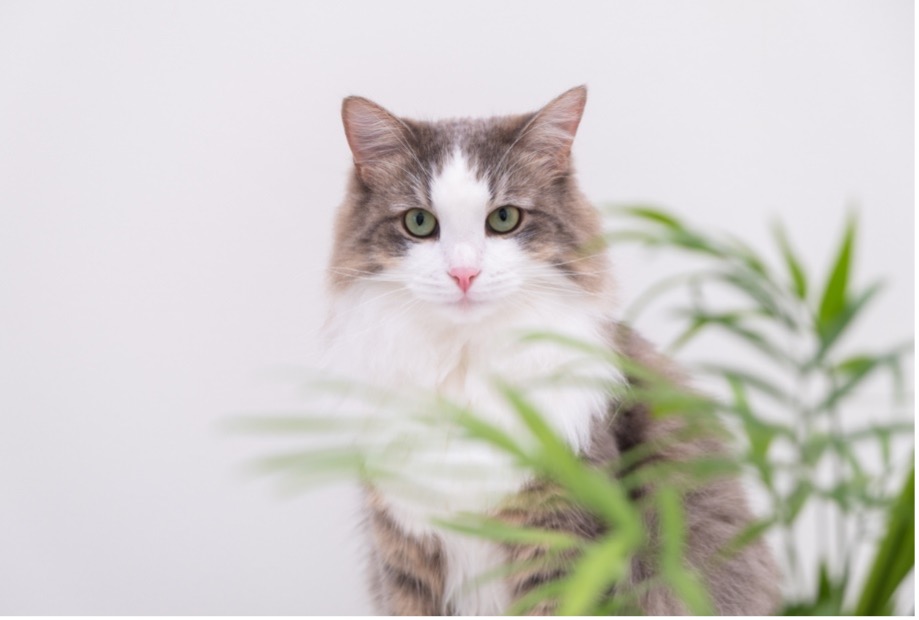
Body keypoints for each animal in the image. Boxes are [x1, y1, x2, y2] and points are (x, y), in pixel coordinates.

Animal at [320, 87, 780, 616]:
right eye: (419, 222)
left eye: (503, 219)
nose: (463, 274)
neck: (465, 367)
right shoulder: (404, 550)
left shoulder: (565, 543)